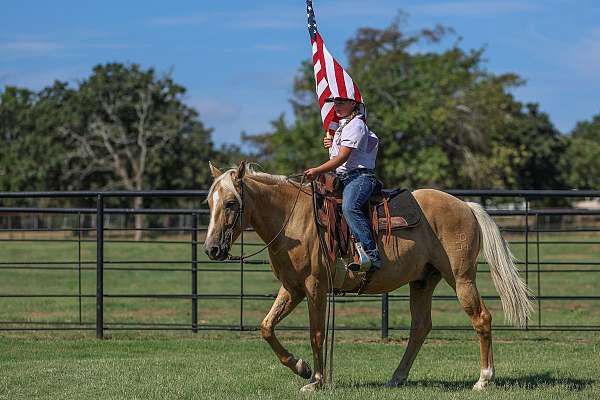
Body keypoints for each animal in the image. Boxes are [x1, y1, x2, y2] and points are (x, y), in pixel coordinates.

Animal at [204, 161, 532, 392]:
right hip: (423, 280)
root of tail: (466, 206)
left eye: (231, 203)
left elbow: (317, 333)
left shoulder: (315, 287)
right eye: (209, 203)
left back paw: (483, 379)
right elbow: (266, 327)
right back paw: (397, 377)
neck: (293, 219)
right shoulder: (292, 288)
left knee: (481, 318)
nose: (211, 249)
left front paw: (317, 380)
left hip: (461, 277)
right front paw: (301, 367)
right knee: (420, 327)